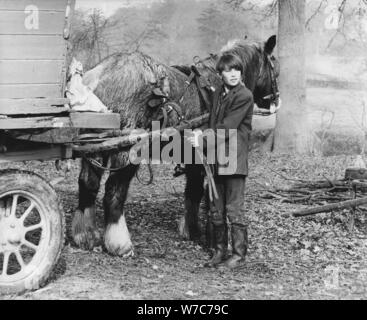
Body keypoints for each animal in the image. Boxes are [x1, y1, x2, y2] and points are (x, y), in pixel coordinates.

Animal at [71, 35, 278, 256]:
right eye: (274, 67)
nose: (276, 100)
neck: (217, 84)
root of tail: (100, 75)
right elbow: (201, 193)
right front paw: (201, 233)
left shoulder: (194, 158)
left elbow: (192, 192)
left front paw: (190, 228)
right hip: (126, 149)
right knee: (114, 191)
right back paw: (119, 243)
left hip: (94, 145)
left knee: (88, 184)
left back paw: (84, 235)